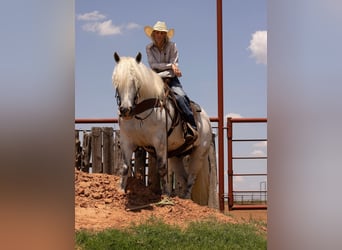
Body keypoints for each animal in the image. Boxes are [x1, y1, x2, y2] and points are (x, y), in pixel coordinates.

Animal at [111, 52, 214, 205]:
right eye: (116, 82)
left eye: (136, 81)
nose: (125, 110)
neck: (141, 114)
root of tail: (206, 120)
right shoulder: (126, 141)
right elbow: (125, 167)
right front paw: (120, 190)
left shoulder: (159, 142)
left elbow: (162, 169)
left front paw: (166, 195)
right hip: (176, 156)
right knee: (183, 178)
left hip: (199, 152)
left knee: (191, 177)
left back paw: (185, 198)